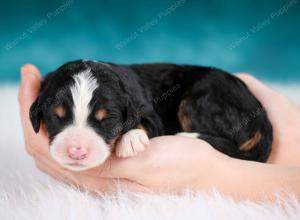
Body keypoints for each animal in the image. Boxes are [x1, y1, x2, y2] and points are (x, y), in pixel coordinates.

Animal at [29, 59, 272, 171]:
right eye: (56, 116)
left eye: (106, 120)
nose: (76, 151)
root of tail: (261, 116)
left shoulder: (150, 113)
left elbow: (143, 123)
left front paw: (130, 140)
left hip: (203, 98)